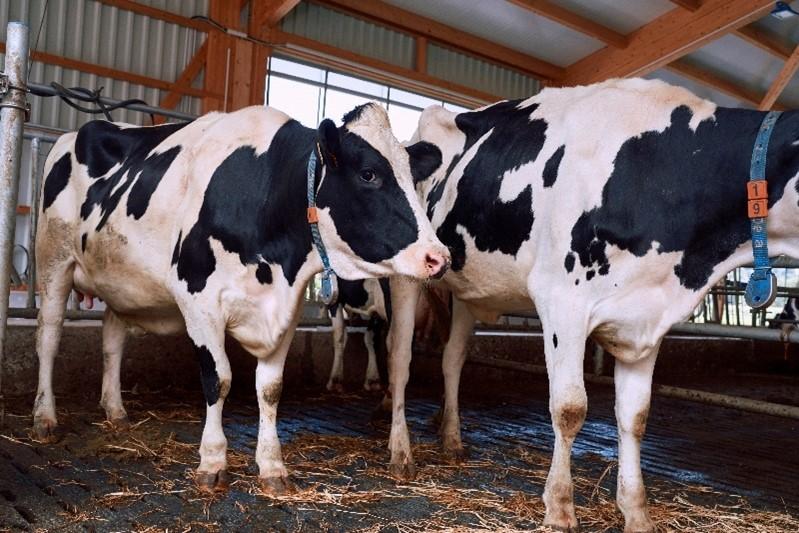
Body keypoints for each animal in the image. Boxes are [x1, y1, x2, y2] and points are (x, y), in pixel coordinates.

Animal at [32, 102, 450, 494]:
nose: (438, 257)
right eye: (368, 174)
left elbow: (270, 389)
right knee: (49, 338)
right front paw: (213, 461)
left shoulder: (286, 310)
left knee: (112, 341)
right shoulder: (198, 299)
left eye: (413, 177)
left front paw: (272, 466)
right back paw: (45, 417)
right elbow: (218, 378)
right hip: (53, 259)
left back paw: (116, 410)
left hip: (120, 283)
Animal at [385, 77, 799, 532]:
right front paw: (559, 510)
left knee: (453, 358)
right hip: (407, 275)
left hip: (466, 289)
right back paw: (401, 452)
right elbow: (569, 408)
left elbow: (635, 416)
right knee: (400, 357)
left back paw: (452, 438)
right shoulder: (561, 301)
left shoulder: (645, 318)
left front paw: (636, 514)